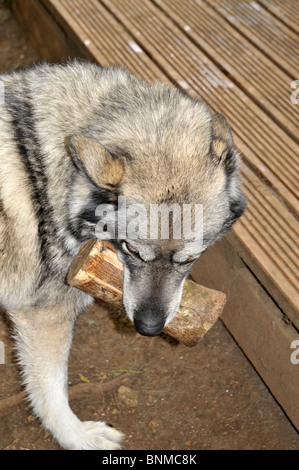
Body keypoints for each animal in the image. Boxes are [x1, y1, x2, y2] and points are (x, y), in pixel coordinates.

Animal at [0, 61, 246, 448]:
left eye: (190, 259)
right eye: (132, 249)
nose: (149, 328)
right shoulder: (44, 316)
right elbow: (51, 393)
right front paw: (78, 438)